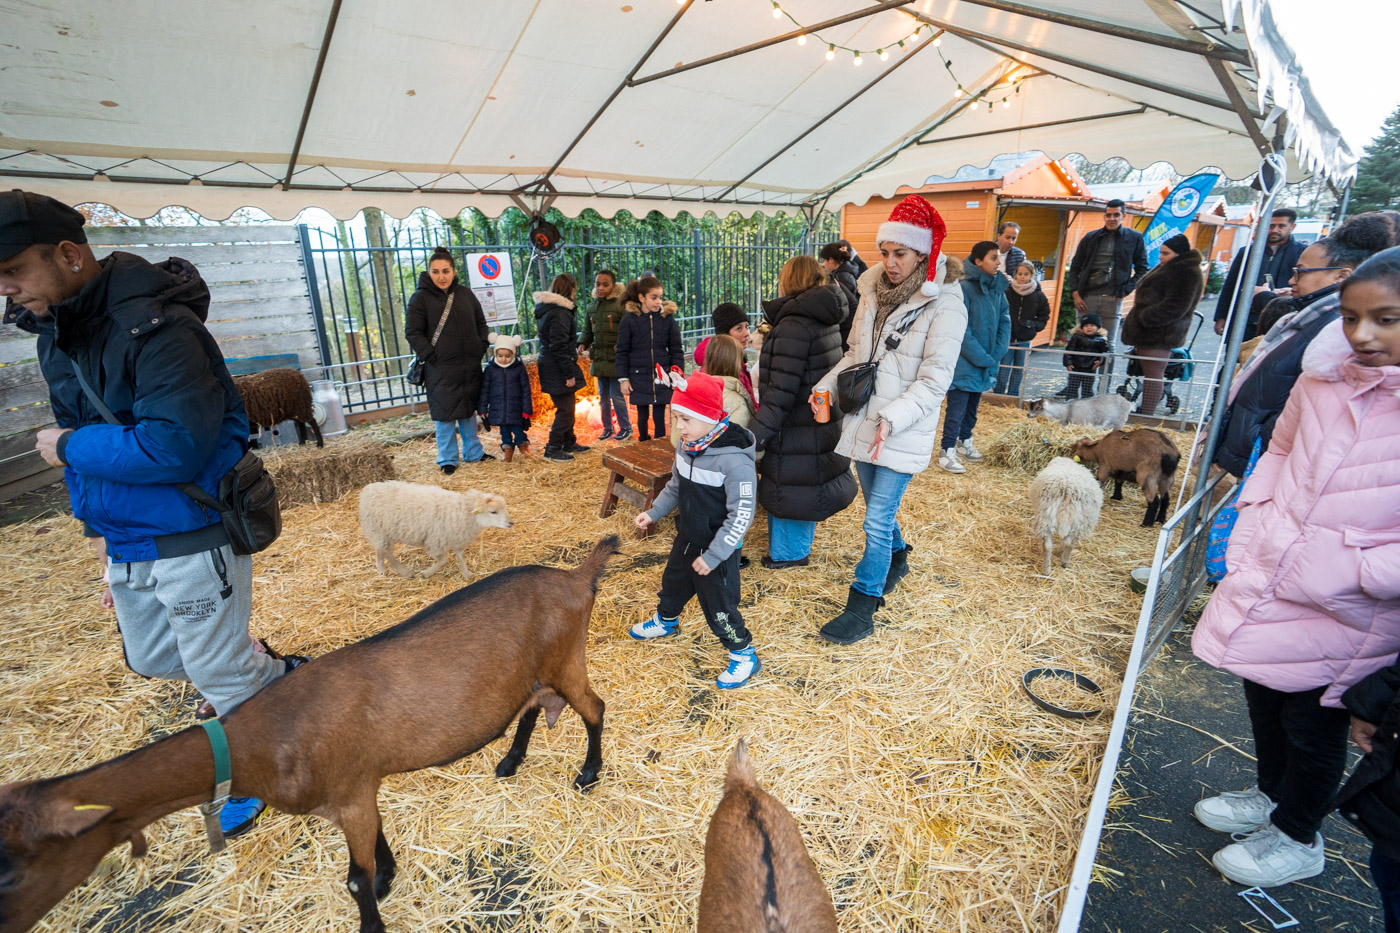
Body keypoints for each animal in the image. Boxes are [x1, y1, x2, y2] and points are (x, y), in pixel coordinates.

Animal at [0, 536, 621, 933]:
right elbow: (372, 851)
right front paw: (389, 876)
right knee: (535, 707)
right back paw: (510, 761)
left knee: (592, 706)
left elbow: (354, 882)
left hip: (568, 658)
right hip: (534, 671)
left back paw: (588, 773)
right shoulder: (357, 793)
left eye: (9, 869)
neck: (265, 738)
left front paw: (375, 913)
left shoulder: (349, 792)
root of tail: (575, 577)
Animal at [359, 481, 511, 578]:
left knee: (380, 550)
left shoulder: (457, 538)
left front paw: (467, 574)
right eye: (493, 512)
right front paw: (426, 573)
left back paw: (381, 569)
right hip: (378, 530)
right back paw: (406, 573)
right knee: (386, 552)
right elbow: (443, 561)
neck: (462, 512)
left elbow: (460, 557)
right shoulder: (435, 542)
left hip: (381, 532)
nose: (511, 523)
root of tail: (367, 490)